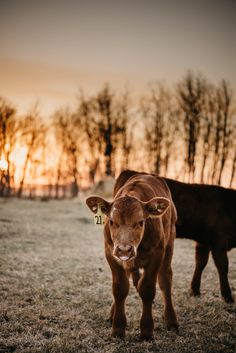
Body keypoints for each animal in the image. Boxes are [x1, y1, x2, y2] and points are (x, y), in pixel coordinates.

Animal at [85, 173, 178, 338]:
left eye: (141, 222)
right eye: (111, 221)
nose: (124, 249)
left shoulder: (157, 254)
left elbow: (147, 289)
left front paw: (146, 330)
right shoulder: (110, 253)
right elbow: (119, 288)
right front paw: (117, 328)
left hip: (169, 243)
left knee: (165, 280)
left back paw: (171, 320)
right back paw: (112, 314)